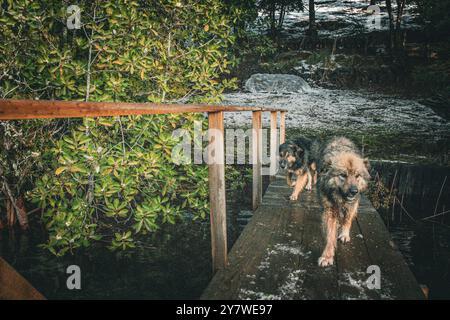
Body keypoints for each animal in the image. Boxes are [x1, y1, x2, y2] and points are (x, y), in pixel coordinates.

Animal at [314, 136, 370, 266]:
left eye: (357, 176)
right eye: (343, 175)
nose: (354, 191)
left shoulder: (352, 205)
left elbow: (347, 220)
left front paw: (344, 234)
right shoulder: (329, 210)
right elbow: (330, 234)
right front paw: (327, 256)